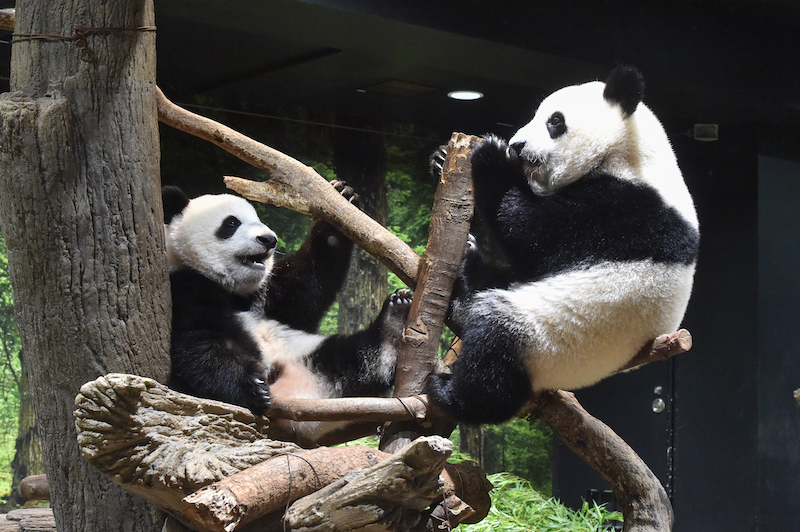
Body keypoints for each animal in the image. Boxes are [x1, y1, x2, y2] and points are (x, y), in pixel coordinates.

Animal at [163, 183, 412, 440]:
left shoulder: (271, 297)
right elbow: (198, 342)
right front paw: (252, 387)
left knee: (347, 359)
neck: (233, 292)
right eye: (231, 223)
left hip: (304, 356)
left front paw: (344, 198)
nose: (268, 239)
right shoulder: (182, 288)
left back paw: (392, 326)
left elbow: (307, 287)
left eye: (257, 218)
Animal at [428, 65, 696, 424]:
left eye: (555, 121)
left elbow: (529, 230)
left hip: (554, 341)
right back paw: (464, 282)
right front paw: (440, 157)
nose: (517, 145)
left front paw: (491, 156)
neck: (627, 151)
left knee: (496, 343)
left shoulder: (624, 210)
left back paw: (449, 391)